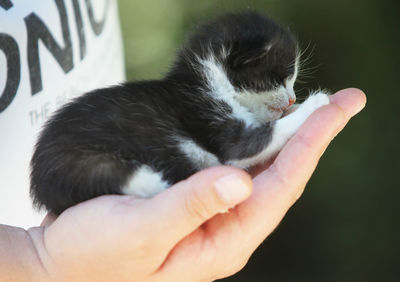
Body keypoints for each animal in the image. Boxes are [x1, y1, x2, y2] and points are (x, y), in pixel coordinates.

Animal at [29, 10, 330, 214]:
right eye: (277, 79)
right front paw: (317, 102)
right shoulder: (216, 122)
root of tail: (38, 183)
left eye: (291, 80)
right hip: (91, 165)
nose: (291, 98)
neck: (207, 81)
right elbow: (259, 138)